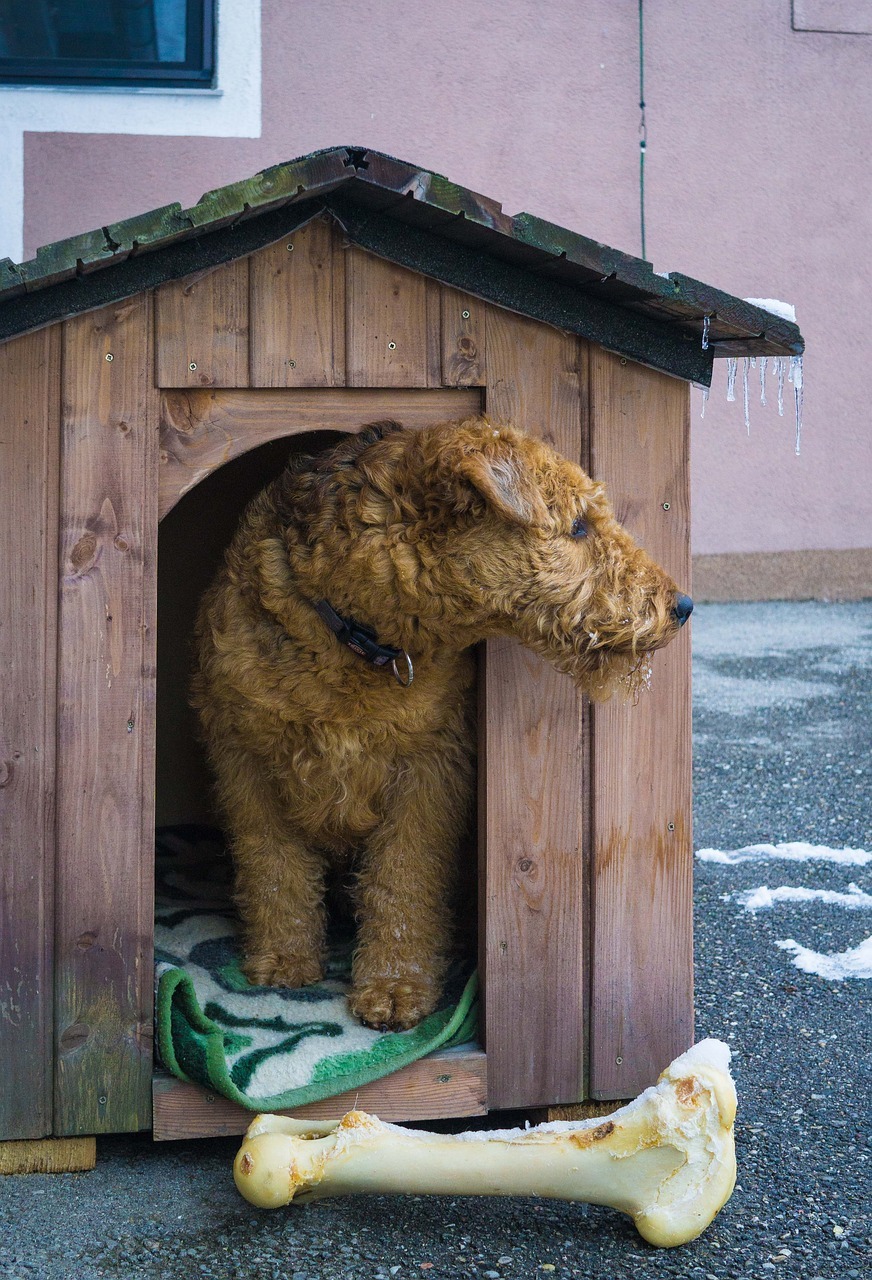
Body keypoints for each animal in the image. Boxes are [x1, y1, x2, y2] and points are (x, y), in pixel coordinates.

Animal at [193, 417, 691, 1029]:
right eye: (577, 525)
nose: (683, 606)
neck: (357, 635)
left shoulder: (430, 767)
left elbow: (404, 877)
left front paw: (395, 987)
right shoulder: (246, 761)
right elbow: (274, 870)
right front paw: (284, 961)